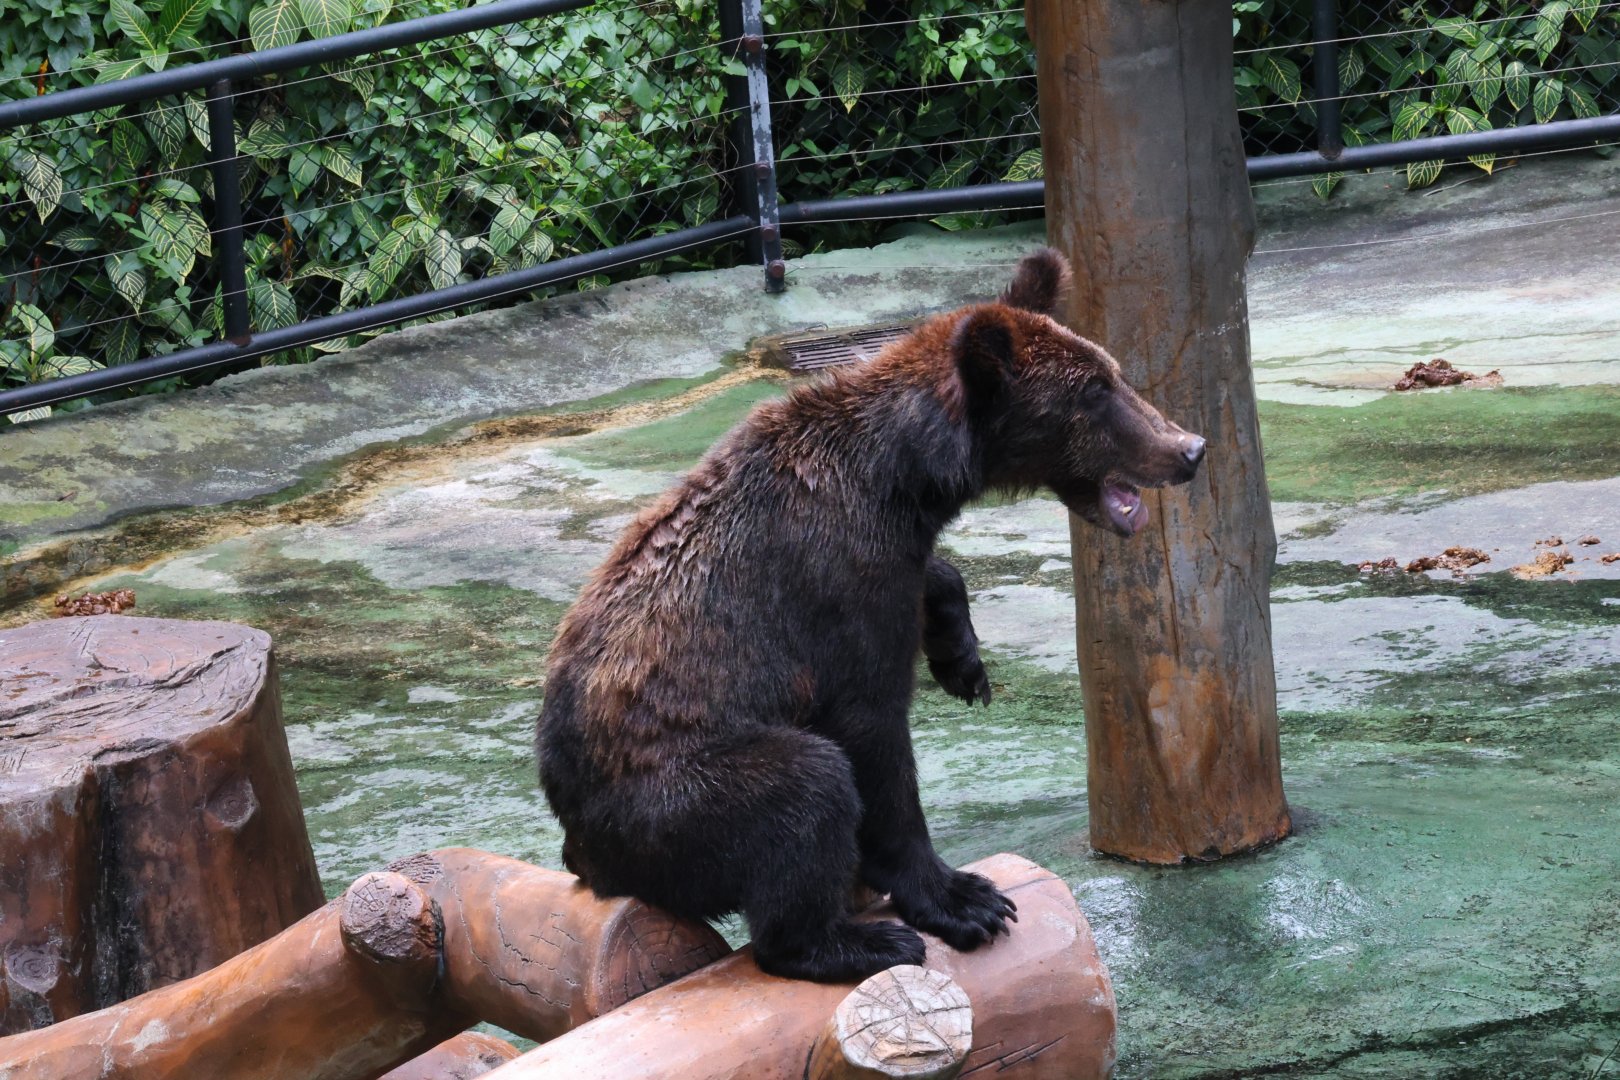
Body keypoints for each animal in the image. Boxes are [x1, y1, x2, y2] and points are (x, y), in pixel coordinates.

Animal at [537, 248, 1206, 982]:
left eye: (1111, 373)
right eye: (1095, 391)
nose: (1189, 448)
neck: (903, 478)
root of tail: (582, 851)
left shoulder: (891, 552)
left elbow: (930, 581)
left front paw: (963, 660)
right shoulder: (834, 576)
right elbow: (870, 728)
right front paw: (962, 896)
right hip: (664, 803)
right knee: (802, 785)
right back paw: (854, 941)